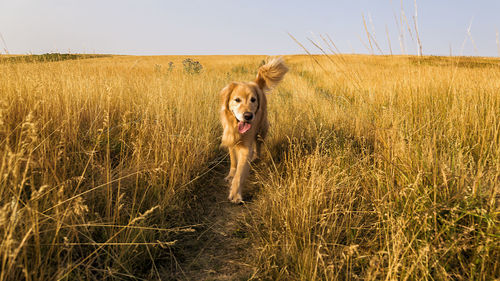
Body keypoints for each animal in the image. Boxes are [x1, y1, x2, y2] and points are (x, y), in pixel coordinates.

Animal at [219, 57, 290, 202]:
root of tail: (256, 83)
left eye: (253, 100)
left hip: (261, 129)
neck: (236, 127)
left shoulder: (246, 148)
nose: (248, 116)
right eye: (237, 100)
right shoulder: (230, 140)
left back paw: (256, 157)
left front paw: (235, 194)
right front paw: (230, 175)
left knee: (258, 144)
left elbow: (240, 173)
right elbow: (233, 161)